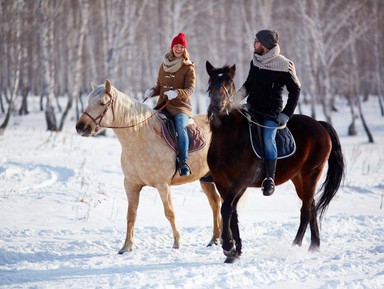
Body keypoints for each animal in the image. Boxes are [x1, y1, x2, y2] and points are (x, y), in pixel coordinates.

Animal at [75, 79, 222, 252]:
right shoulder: (131, 184)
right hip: (205, 179)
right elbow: (131, 214)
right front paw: (126, 246)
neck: (140, 137)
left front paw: (177, 242)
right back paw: (215, 239)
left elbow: (169, 212)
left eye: (102, 103)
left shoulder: (163, 185)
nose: (80, 127)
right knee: (215, 203)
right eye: (88, 101)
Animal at [206, 61, 346, 264]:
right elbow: (232, 213)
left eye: (229, 81)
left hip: (311, 173)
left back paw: (295, 246)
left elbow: (226, 209)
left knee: (306, 210)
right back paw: (314, 246)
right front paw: (235, 252)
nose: (218, 103)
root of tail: (320, 124)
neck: (229, 138)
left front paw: (228, 247)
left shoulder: (241, 182)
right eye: (211, 81)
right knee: (311, 205)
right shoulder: (222, 183)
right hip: (298, 178)